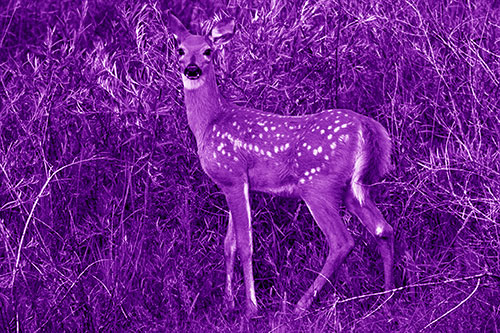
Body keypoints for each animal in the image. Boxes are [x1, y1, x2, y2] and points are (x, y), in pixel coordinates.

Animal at [168, 14, 394, 316]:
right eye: (180, 50)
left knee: (342, 241)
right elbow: (228, 244)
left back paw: (299, 306)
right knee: (383, 229)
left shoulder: (232, 174)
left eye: (208, 51)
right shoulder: (237, 183)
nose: (191, 70)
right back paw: (388, 297)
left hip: (317, 185)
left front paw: (251, 307)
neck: (209, 122)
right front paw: (228, 302)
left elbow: (245, 245)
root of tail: (366, 127)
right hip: (353, 187)